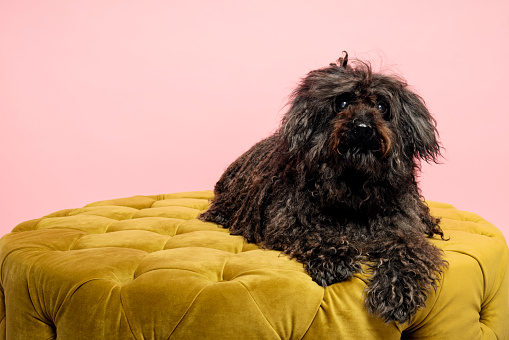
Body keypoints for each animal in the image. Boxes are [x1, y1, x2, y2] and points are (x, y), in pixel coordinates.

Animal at [198, 52, 444, 324]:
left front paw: (397, 292)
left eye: (381, 106)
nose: (362, 128)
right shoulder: (289, 221)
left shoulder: (402, 228)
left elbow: (408, 251)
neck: (354, 188)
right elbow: (315, 235)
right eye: (342, 103)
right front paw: (336, 259)